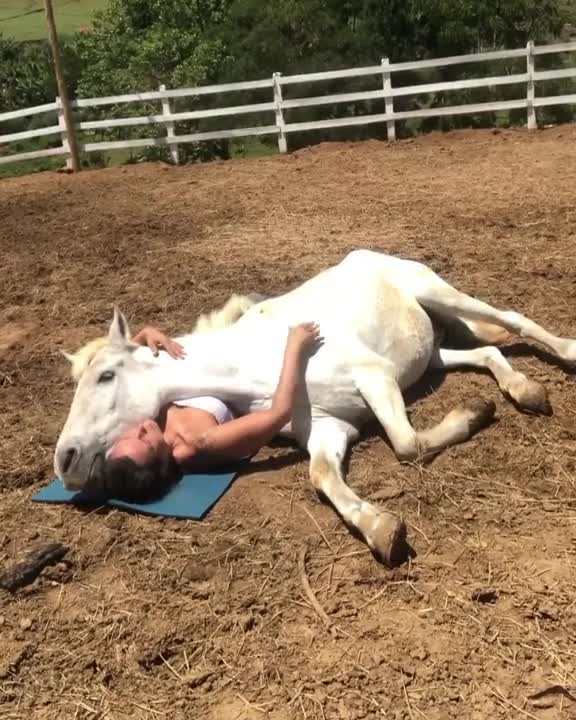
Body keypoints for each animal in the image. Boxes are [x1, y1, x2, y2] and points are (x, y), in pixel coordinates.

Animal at [53, 250, 576, 565]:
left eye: (105, 376)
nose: (65, 460)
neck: (255, 362)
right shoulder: (330, 429)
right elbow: (323, 476)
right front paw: (381, 528)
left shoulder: (375, 377)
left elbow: (406, 445)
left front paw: (474, 414)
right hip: (429, 355)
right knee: (487, 353)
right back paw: (524, 390)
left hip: (438, 293)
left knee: (512, 319)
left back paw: (564, 356)